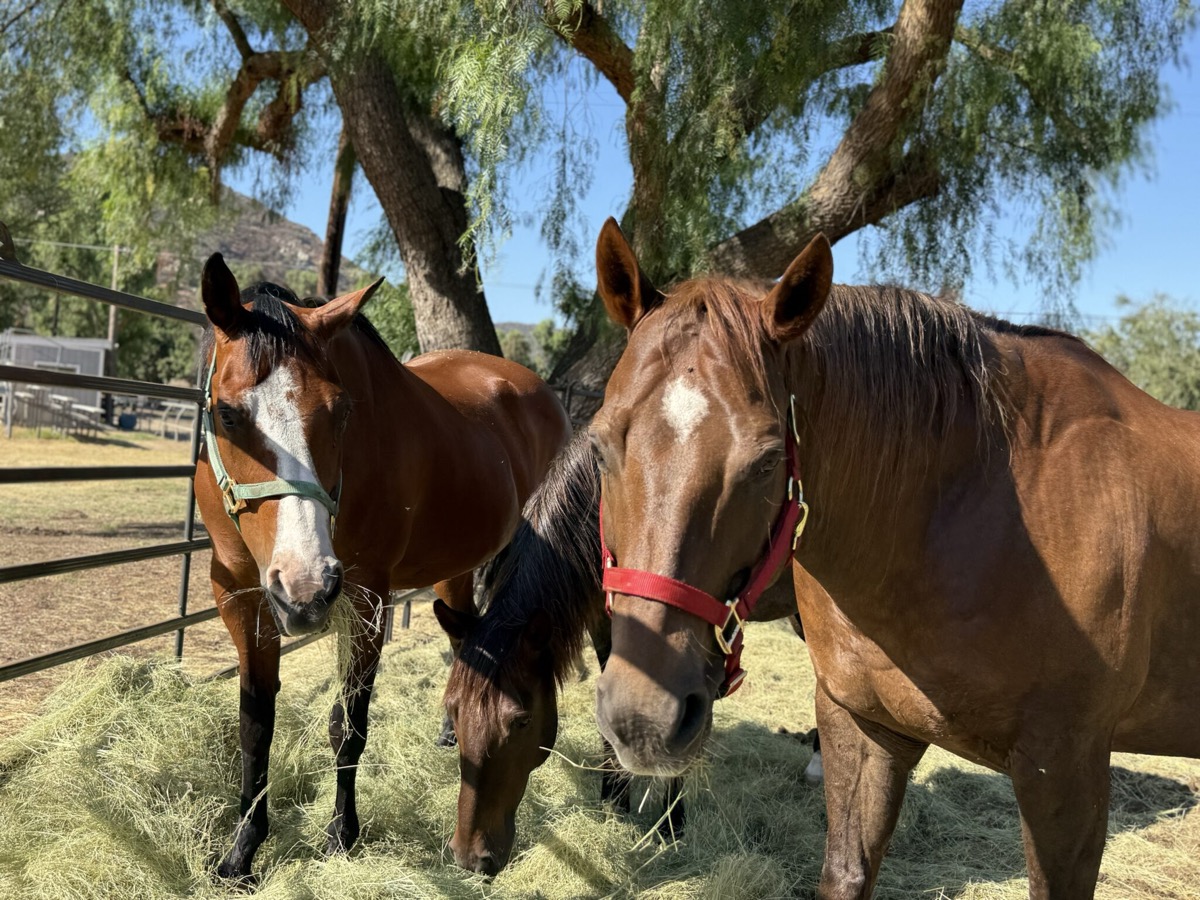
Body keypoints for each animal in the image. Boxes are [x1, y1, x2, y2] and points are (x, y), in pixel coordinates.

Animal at [192, 254, 571, 883]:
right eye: (226, 413)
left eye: (342, 411)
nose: (305, 588)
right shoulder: (241, 597)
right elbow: (254, 725)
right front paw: (242, 851)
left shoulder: (368, 600)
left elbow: (348, 726)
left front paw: (342, 835)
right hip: (454, 564)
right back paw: (453, 725)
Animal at [434, 429, 820, 875]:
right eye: (453, 711)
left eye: (521, 721)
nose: (470, 856)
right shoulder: (607, 627)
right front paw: (614, 802)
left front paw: (671, 825)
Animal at [587, 218, 1200, 899]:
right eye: (600, 445)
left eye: (768, 461)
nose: (643, 719)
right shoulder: (865, 729)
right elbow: (847, 870)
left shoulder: (1065, 770)